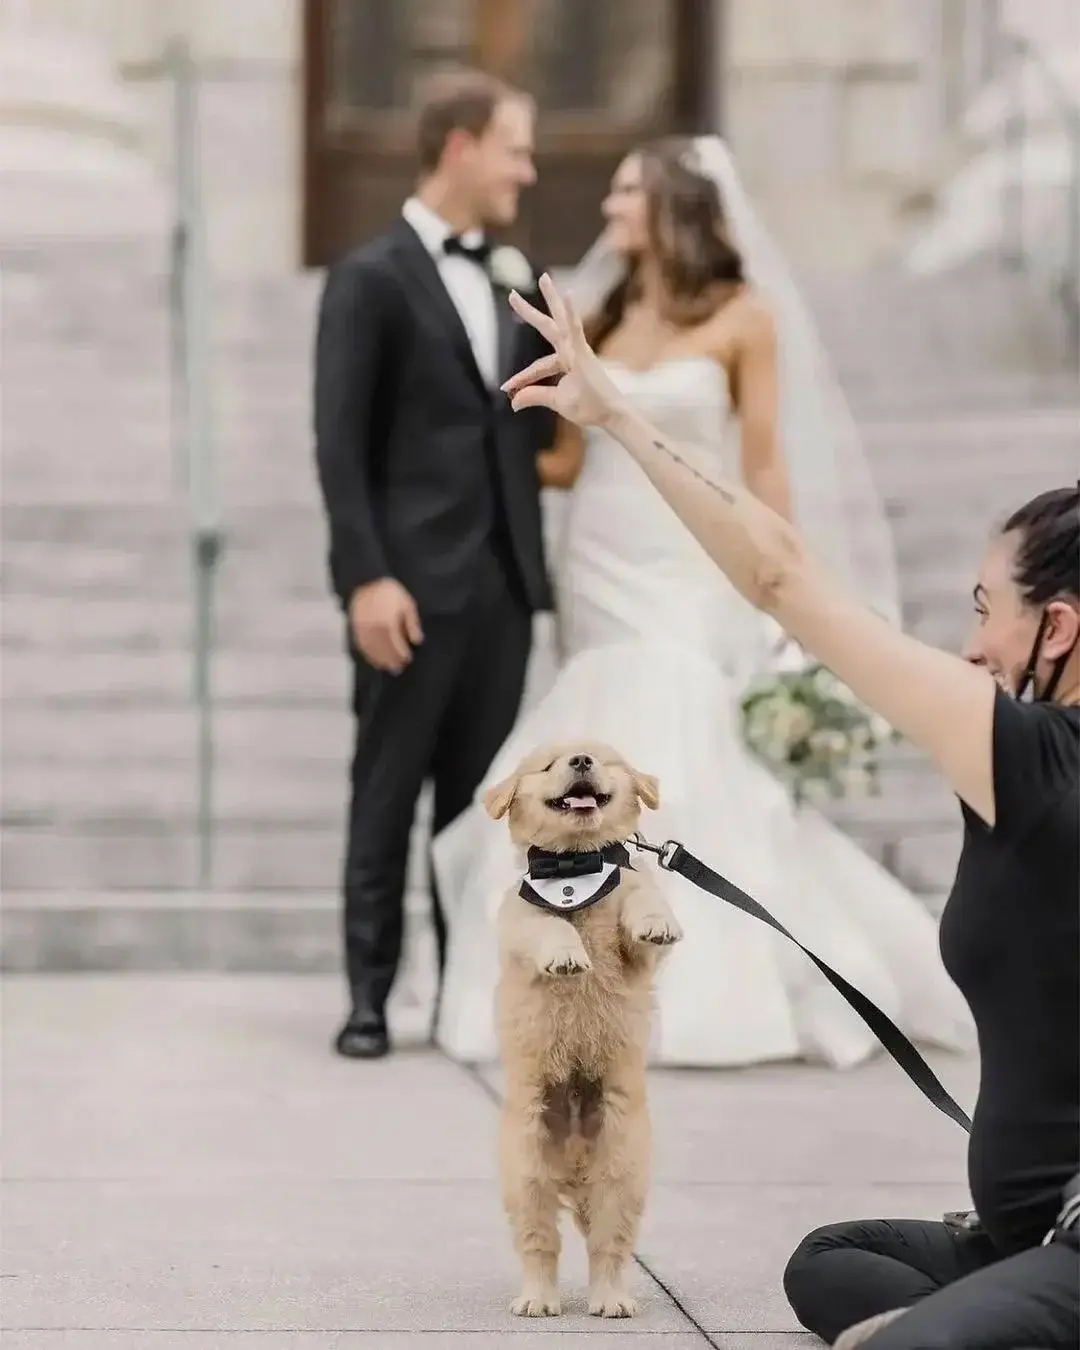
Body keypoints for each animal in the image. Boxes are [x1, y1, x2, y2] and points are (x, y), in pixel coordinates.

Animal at [483, 739, 683, 1317]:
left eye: (601, 758)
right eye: (548, 765)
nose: (580, 761)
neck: (575, 864)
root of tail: (573, 1158)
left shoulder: (637, 943)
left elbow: (642, 896)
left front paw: (656, 922)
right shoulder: (519, 921)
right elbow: (547, 925)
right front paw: (567, 955)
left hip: (621, 1171)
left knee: (607, 1246)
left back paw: (611, 1299)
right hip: (526, 1173)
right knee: (539, 1244)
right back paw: (538, 1299)